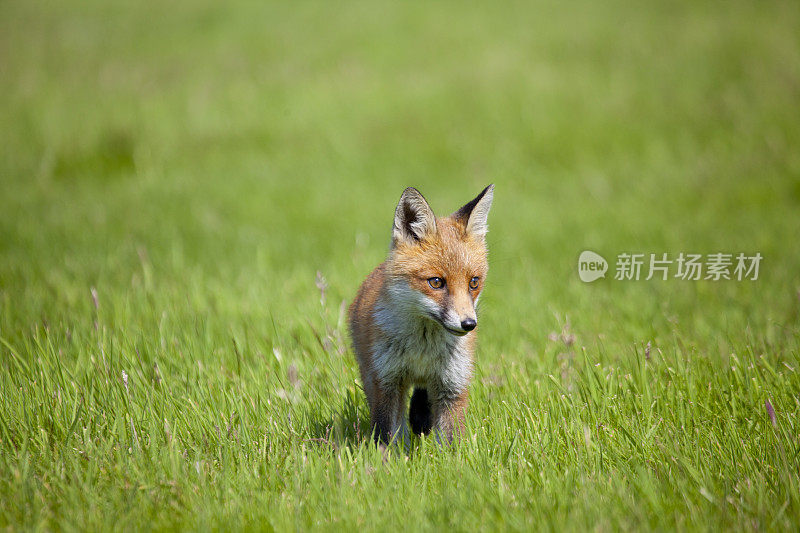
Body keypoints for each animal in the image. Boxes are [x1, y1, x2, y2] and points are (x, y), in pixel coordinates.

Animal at [350, 185, 494, 442]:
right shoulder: (387, 381)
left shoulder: (452, 385)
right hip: (370, 376)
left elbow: (450, 440)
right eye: (436, 282)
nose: (469, 324)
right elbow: (387, 433)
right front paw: (386, 454)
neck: (423, 351)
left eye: (474, 282)